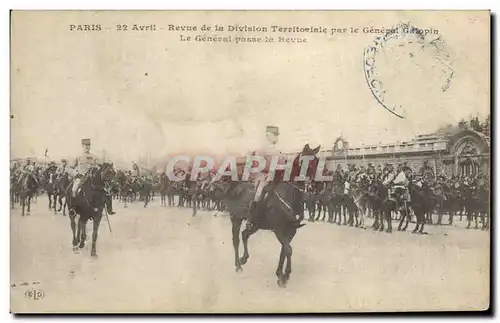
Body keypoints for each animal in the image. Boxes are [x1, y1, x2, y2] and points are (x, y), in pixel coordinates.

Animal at [215, 144, 320, 288]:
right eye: (305, 161)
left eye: (317, 161)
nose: (312, 187)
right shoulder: (278, 230)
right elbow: (288, 250)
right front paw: (285, 275)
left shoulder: (291, 231)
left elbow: (284, 250)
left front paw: (280, 275)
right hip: (236, 218)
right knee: (236, 240)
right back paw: (238, 265)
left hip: (256, 224)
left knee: (245, 234)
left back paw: (243, 259)